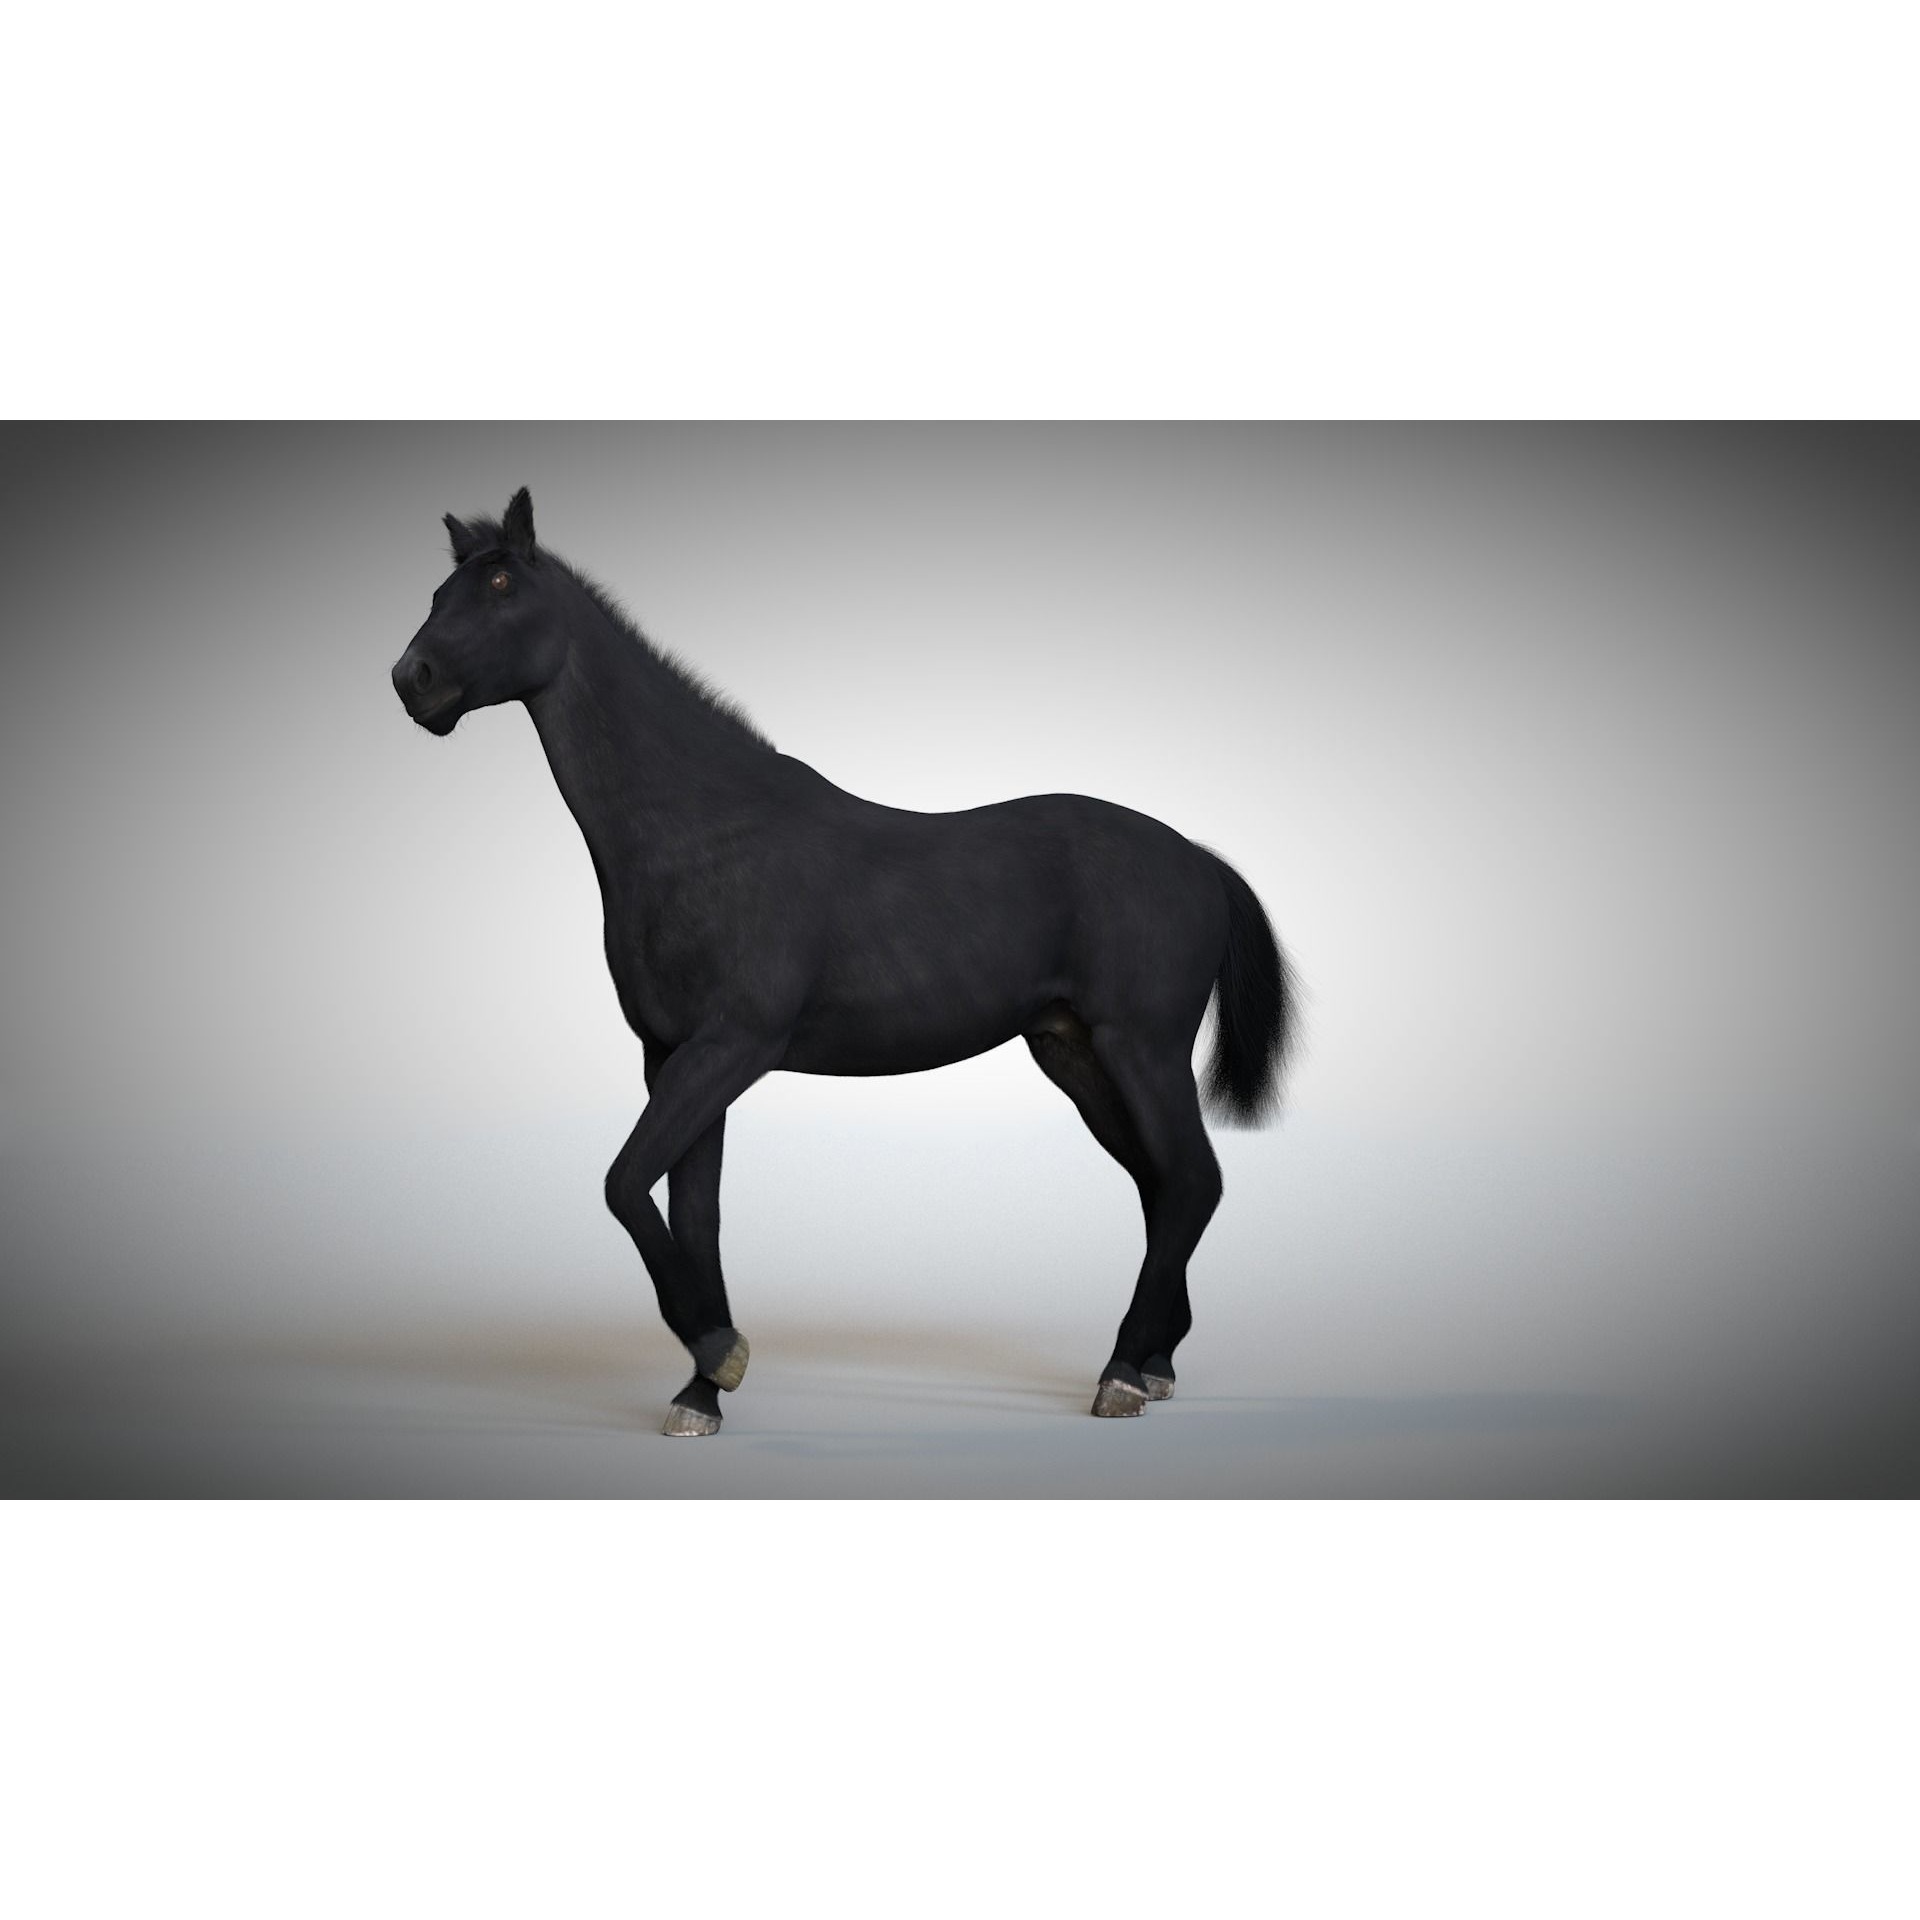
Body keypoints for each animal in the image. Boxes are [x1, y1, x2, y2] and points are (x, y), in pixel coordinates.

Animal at [391, 487, 1297, 1436]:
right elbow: (692, 1215)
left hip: (1141, 1050)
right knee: (1166, 1187)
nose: (412, 679)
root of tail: (1199, 860)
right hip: (1076, 1056)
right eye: (439, 591)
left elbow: (624, 1184)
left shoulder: (732, 1048)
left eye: (499, 584)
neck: (703, 831)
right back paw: (1155, 1363)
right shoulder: (670, 1056)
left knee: (1191, 1181)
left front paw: (721, 1351)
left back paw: (1121, 1374)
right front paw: (700, 1389)